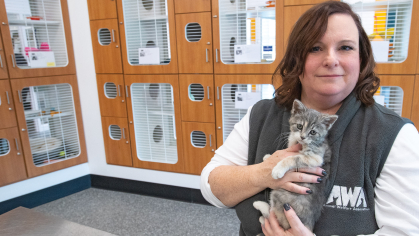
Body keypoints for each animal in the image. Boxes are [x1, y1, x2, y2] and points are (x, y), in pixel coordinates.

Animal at [253, 98, 338, 231]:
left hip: (280, 197)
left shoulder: (316, 157)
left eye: (313, 132)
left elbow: (293, 157)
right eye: (299, 126)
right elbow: (289, 147)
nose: (302, 137)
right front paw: (268, 158)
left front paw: (278, 169)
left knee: (278, 218)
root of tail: (308, 223)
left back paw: (260, 208)